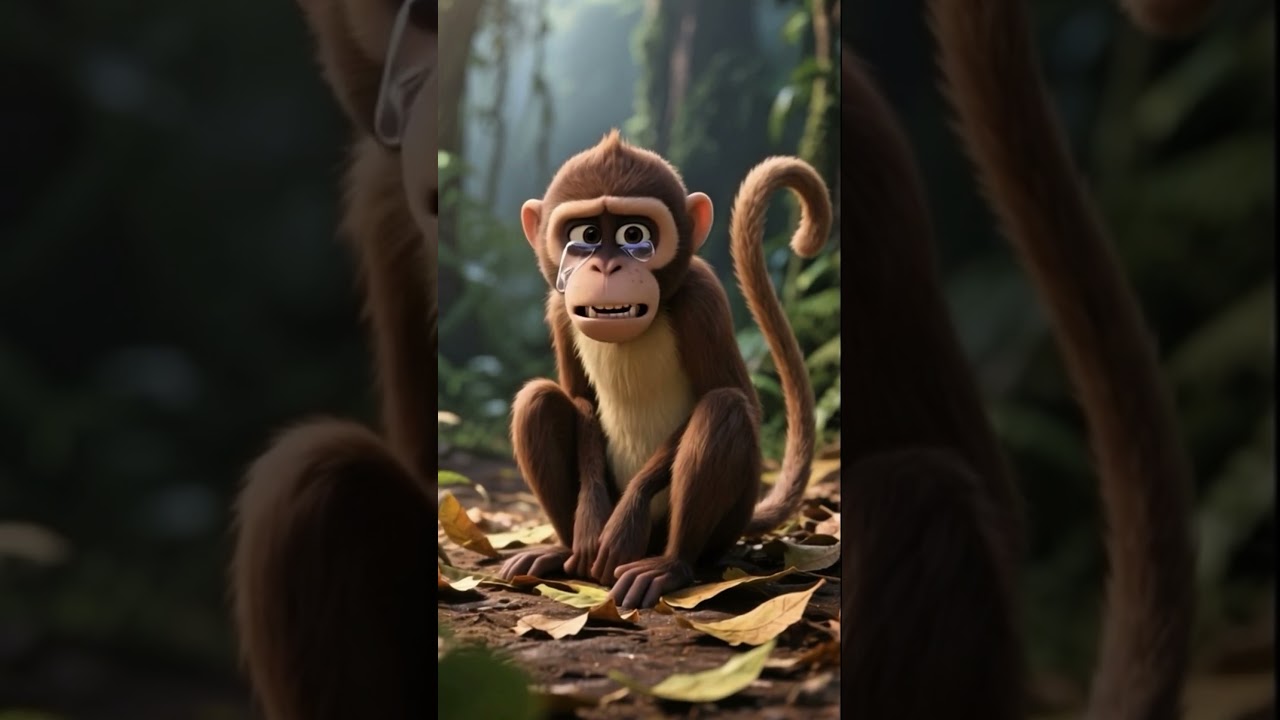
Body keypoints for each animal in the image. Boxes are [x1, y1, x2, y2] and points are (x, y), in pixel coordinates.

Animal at [496, 131, 833, 610]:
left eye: (634, 235)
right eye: (586, 236)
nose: (605, 266)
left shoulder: (702, 297)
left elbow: (739, 400)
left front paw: (625, 521)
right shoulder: (558, 308)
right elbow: (578, 397)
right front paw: (591, 518)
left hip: (724, 523)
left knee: (725, 409)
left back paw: (671, 565)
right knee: (536, 400)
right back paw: (561, 550)